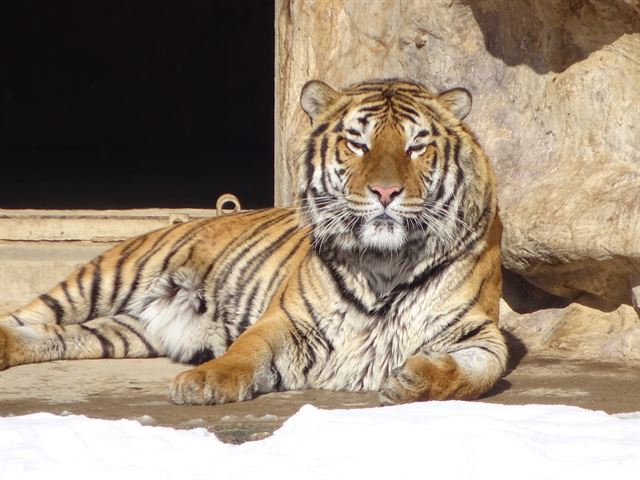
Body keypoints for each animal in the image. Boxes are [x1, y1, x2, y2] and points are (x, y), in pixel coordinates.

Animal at [1, 79, 510, 404]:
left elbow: (475, 374)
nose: (385, 192)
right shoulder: (289, 319)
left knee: (56, 337)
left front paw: (413, 379)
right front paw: (203, 383)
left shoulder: (479, 333)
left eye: (416, 146)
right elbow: (244, 351)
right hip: (108, 277)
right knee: (26, 317)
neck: (386, 263)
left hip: (126, 329)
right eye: (357, 144)